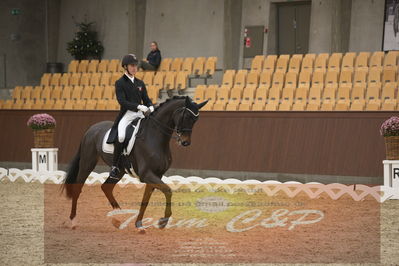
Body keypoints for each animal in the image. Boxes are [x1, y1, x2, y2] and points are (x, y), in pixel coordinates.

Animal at [61, 96, 209, 232]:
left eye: (195, 120)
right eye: (187, 116)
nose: (185, 142)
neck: (155, 138)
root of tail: (91, 129)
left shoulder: (156, 175)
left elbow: (145, 200)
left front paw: (139, 224)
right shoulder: (146, 174)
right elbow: (168, 190)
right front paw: (163, 221)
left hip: (119, 170)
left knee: (106, 187)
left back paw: (118, 218)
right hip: (88, 163)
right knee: (78, 188)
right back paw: (73, 221)